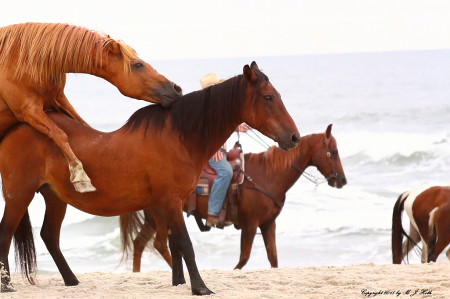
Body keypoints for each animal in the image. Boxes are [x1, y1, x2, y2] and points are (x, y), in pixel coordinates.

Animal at [0, 22, 183, 193]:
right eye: (138, 65)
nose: (177, 89)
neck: (25, 60)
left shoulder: (57, 100)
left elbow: (83, 125)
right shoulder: (28, 110)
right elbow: (59, 134)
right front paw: (81, 177)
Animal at [0, 62, 302, 296]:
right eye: (267, 97)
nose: (294, 137)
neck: (179, 137)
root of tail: (16, 128)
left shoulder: (170, 204)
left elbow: (174, 244)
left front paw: (178, 282)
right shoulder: (171, 201)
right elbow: (184, 244)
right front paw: (200, 287)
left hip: (55, 197)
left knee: (49, 235)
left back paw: (72, 280)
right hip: (19, 195)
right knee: (6, 232)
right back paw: (7, 285)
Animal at [120, 124, 348, 272]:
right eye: (333, 151)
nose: (342, 180)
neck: (267, 176)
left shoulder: (268, 224)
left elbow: (273, 258)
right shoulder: (250, 224)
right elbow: (243, 259)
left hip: (152, 217)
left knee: (139, 242)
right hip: (160, 216)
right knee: (159, 244)